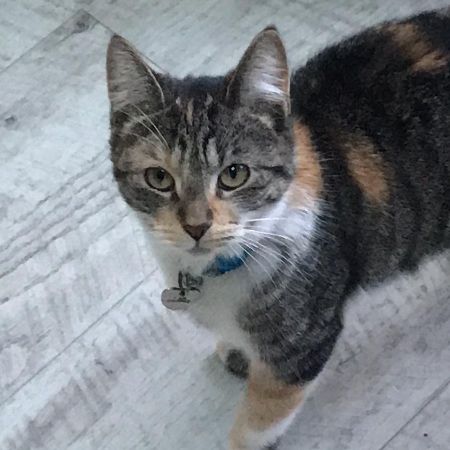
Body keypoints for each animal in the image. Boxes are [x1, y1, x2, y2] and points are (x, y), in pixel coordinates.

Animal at [106, 7, 450, 450]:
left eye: (234, 174)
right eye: (158, 178)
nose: (196, 225)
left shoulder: (302, 342)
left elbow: (260, 418)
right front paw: (237, 352)